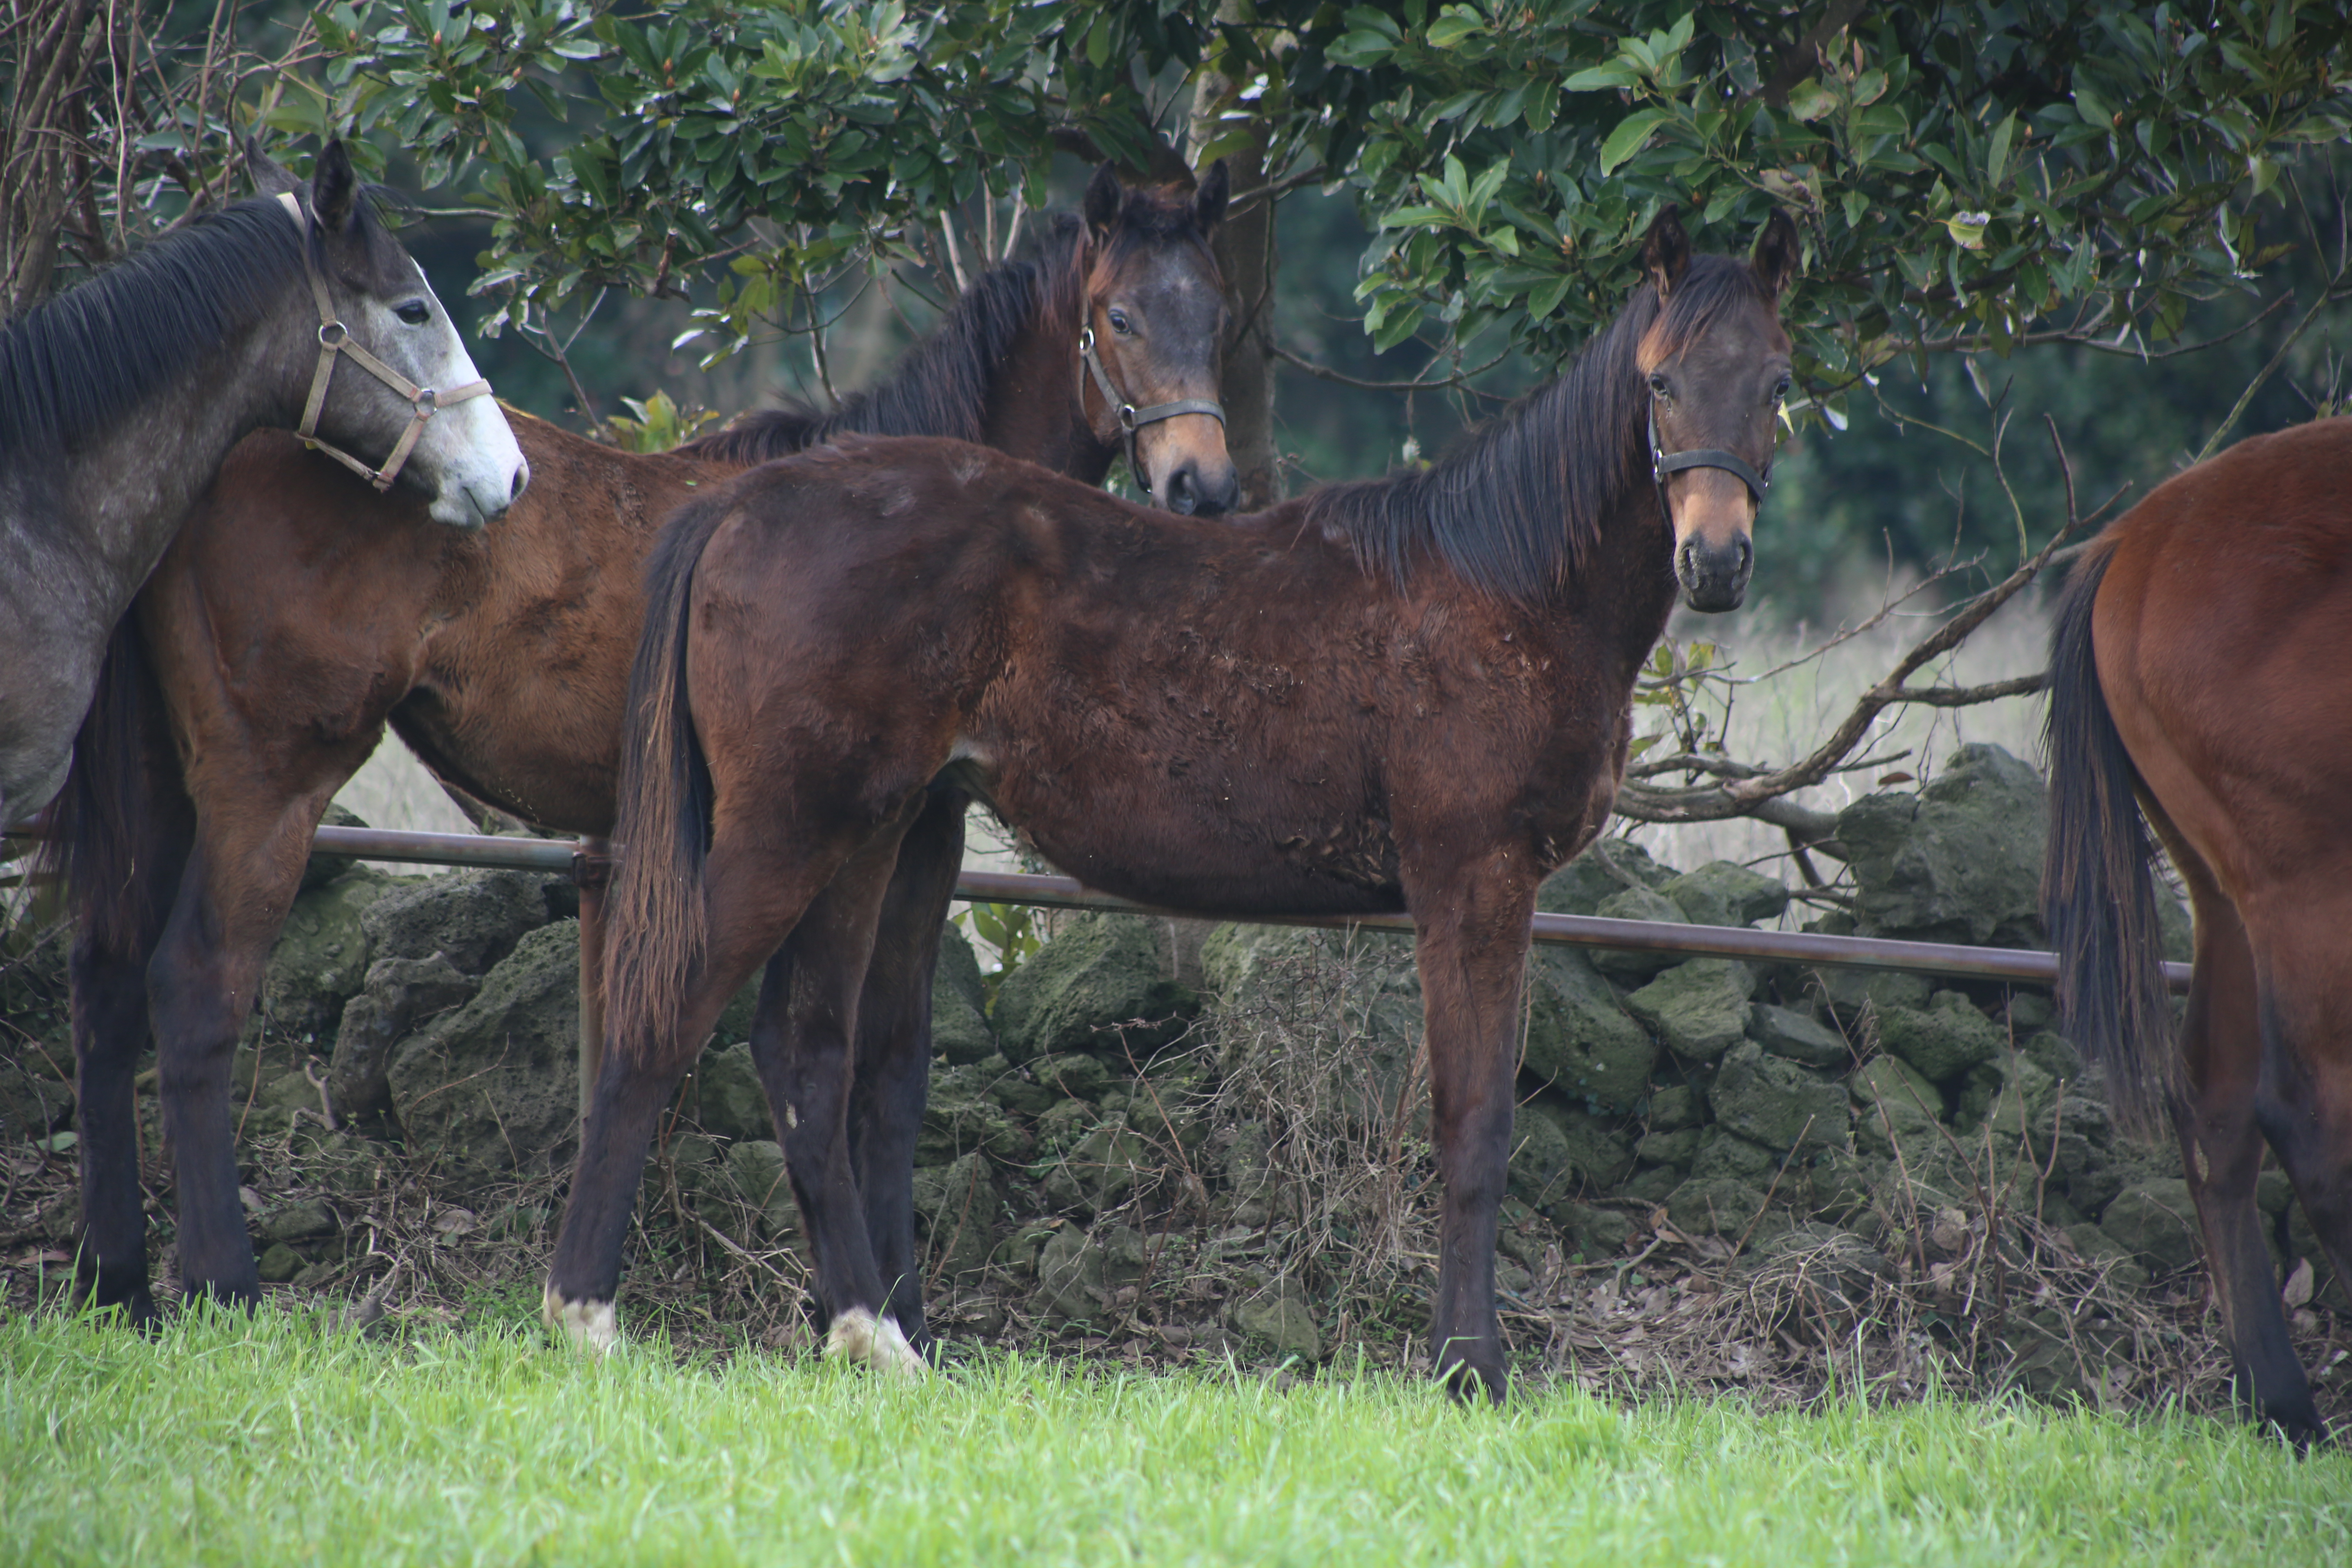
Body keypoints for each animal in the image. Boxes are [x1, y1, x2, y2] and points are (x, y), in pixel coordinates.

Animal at [50, 162, 1232, 1326]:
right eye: (1118, 315)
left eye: (1218, 317)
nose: (1203, 485)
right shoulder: (903, 833)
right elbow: (875, 1068)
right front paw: (886, 1312)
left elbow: (886, 1072)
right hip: (272, 787)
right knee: (196, 993)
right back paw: (226, 1285)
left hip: (165, 787)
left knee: (107, 990)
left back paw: (120, 1283)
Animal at [550, 208, 1787, 1401]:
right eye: (1661, 382)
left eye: (1776, 381)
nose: (1717, 560)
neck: (1508, 586)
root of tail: (744, 504)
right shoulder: (1473, 883)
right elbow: (1474, 1126)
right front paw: (1470, 1368)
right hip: (793, 832)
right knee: (663, 1016)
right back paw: (588, 1319)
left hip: (871, 834)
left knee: (804, 1049)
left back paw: (871, 1335)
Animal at [2041, 416, 2352, 1448]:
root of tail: (2133, 544)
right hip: (2308, 887)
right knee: (2306, 1116)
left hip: (2228, 900)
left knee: (2214, 1108)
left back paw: (2281, 1402)